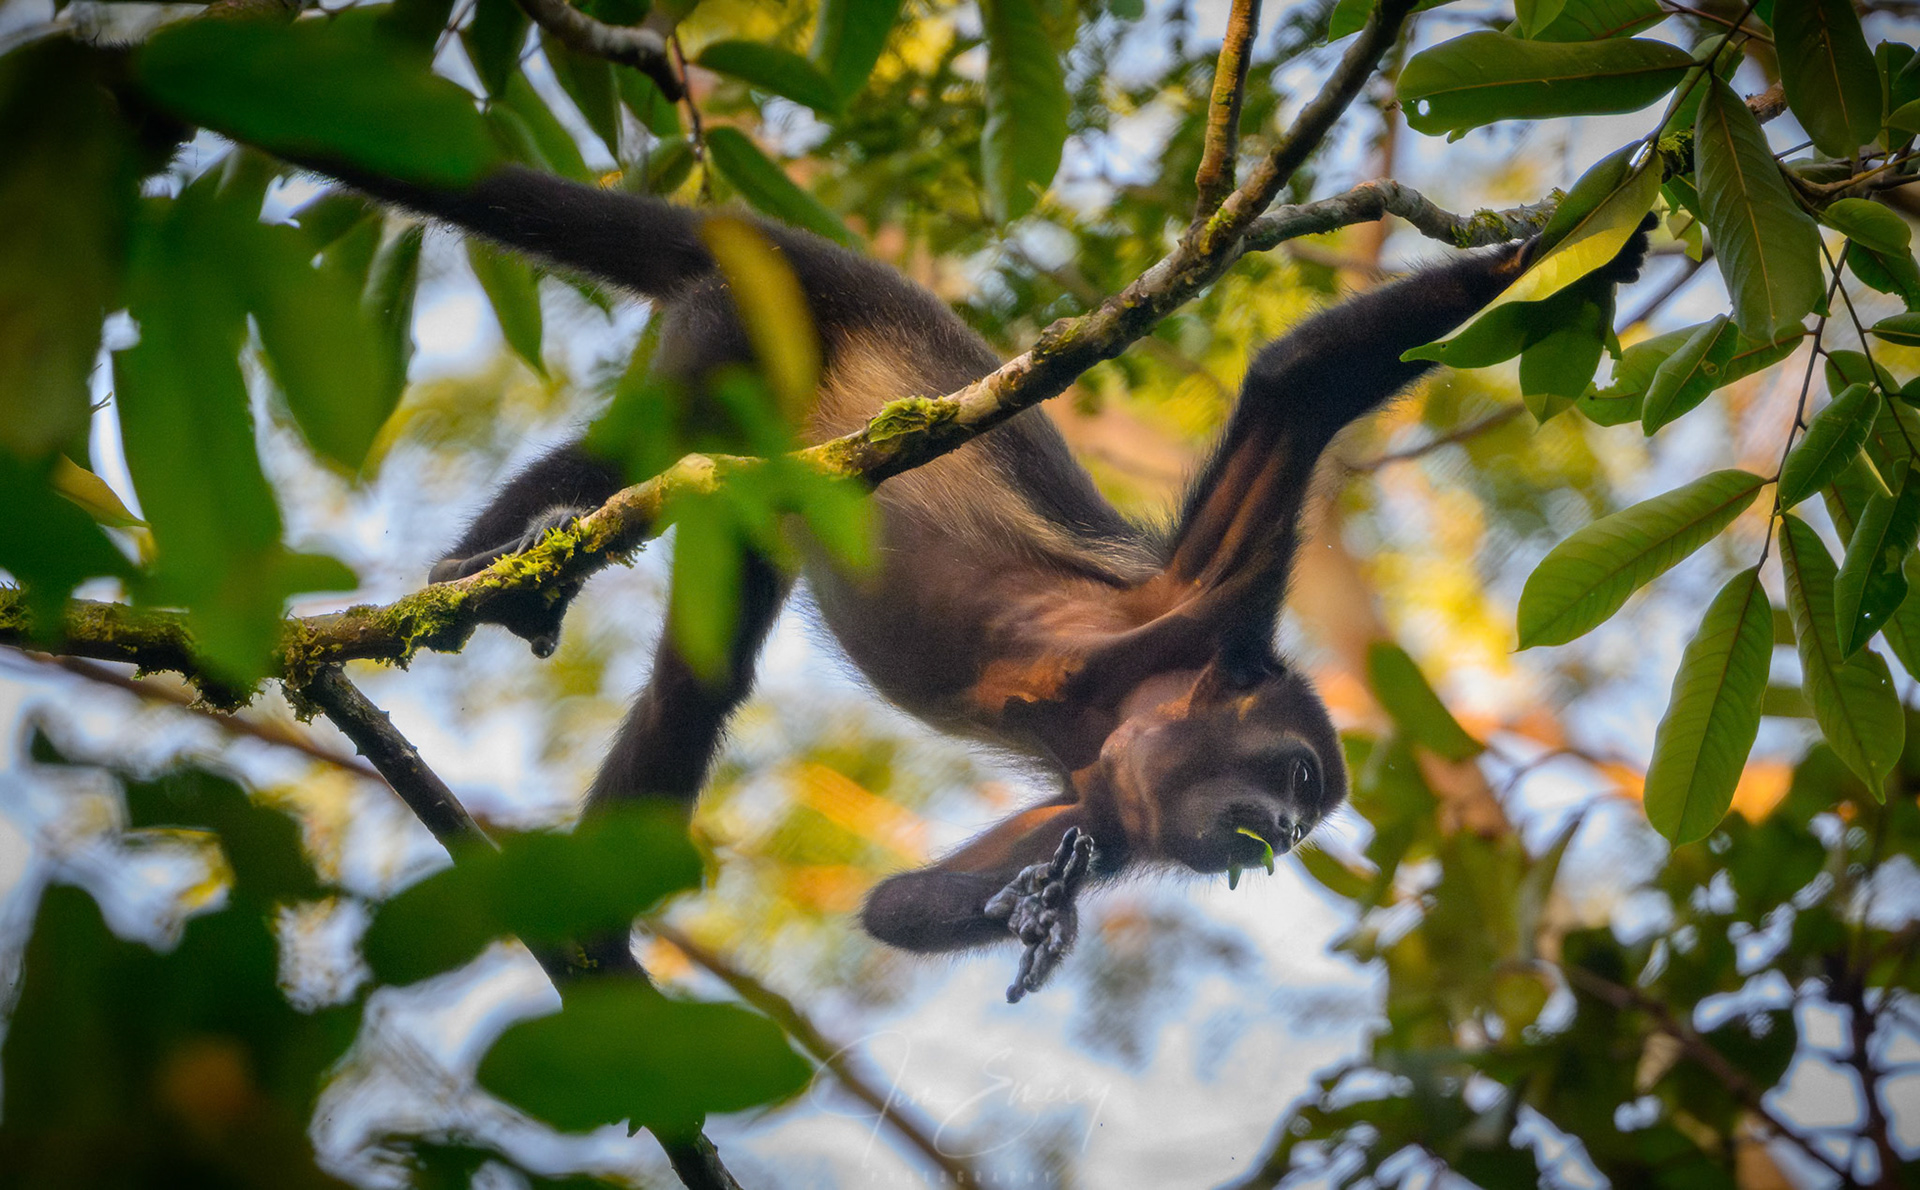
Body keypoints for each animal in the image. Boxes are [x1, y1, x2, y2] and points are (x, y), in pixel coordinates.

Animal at [312, 161, 1649, 1002]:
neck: (1132, 709)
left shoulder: (1104, 807)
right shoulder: (1207, 598)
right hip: (750, 319)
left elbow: (897, 904)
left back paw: (597, 940)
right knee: (648, 443)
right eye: (1298, 779)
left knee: (703, 671)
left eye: (1301, 819)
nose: (1275, 834)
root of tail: (825, 258)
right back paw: (513, 547)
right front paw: (1598, 237)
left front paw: (1032, 911)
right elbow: (1300, 379)